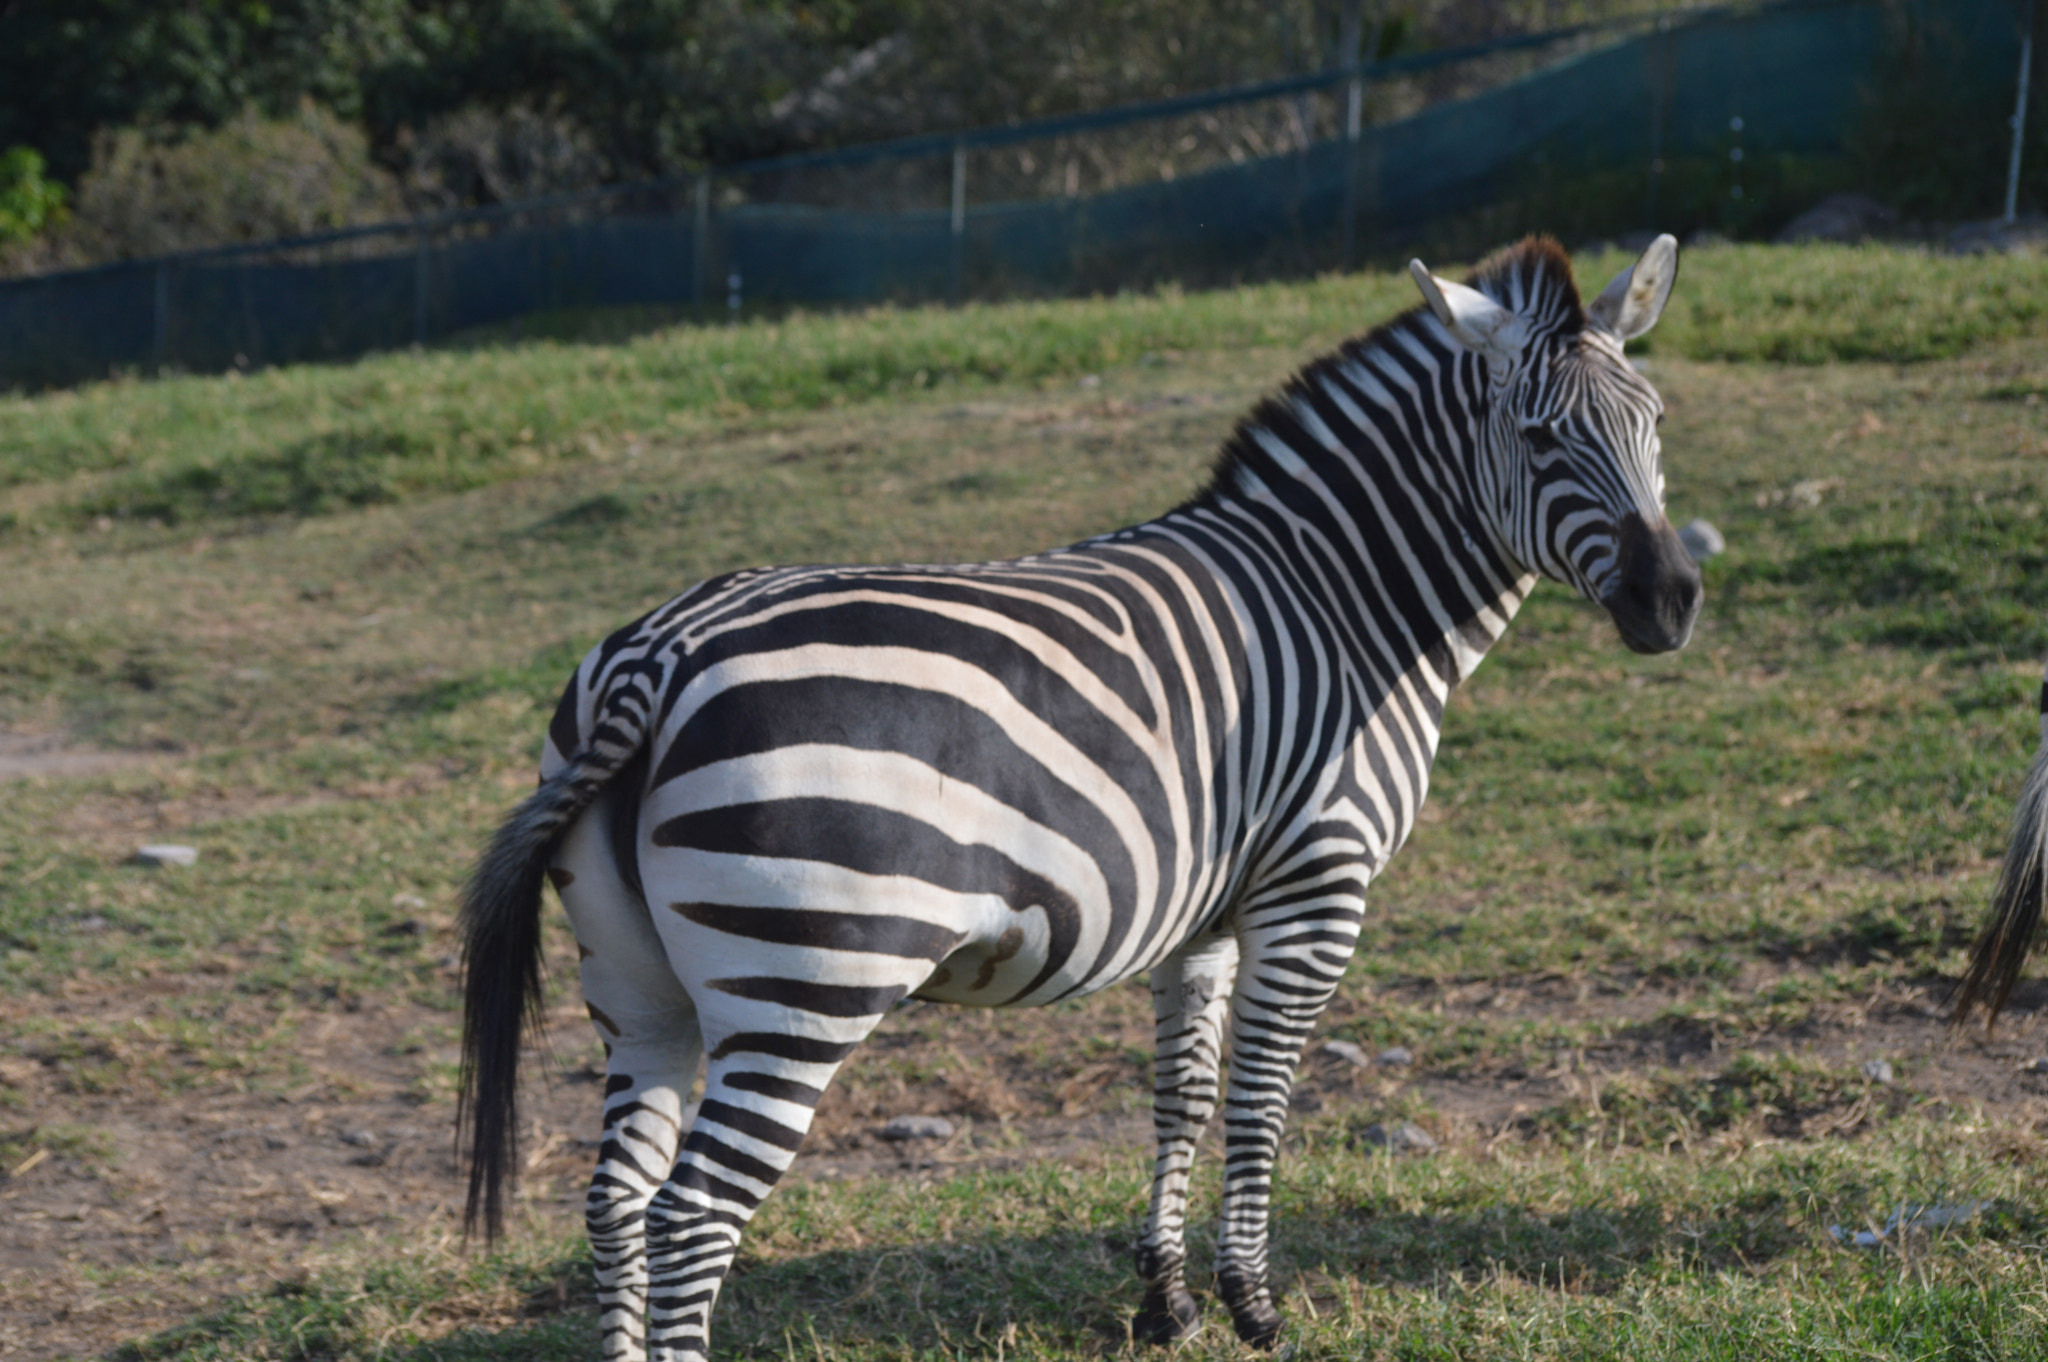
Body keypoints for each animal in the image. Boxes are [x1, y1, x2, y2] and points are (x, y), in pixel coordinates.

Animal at [458, 234, 1702, 1360]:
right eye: (1539, 437)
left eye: (1652, 421)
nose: (1670, 601)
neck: (1341, 596)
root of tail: (658, 655)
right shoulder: (1315, 885)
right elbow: (1258, 1096)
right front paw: (1253, 1307)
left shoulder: (1204, 903)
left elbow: (1182, 1092)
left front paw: (1168, 1302)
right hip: (799, 984)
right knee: (690, 1221)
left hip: (635, 983)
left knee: (615, 1204)